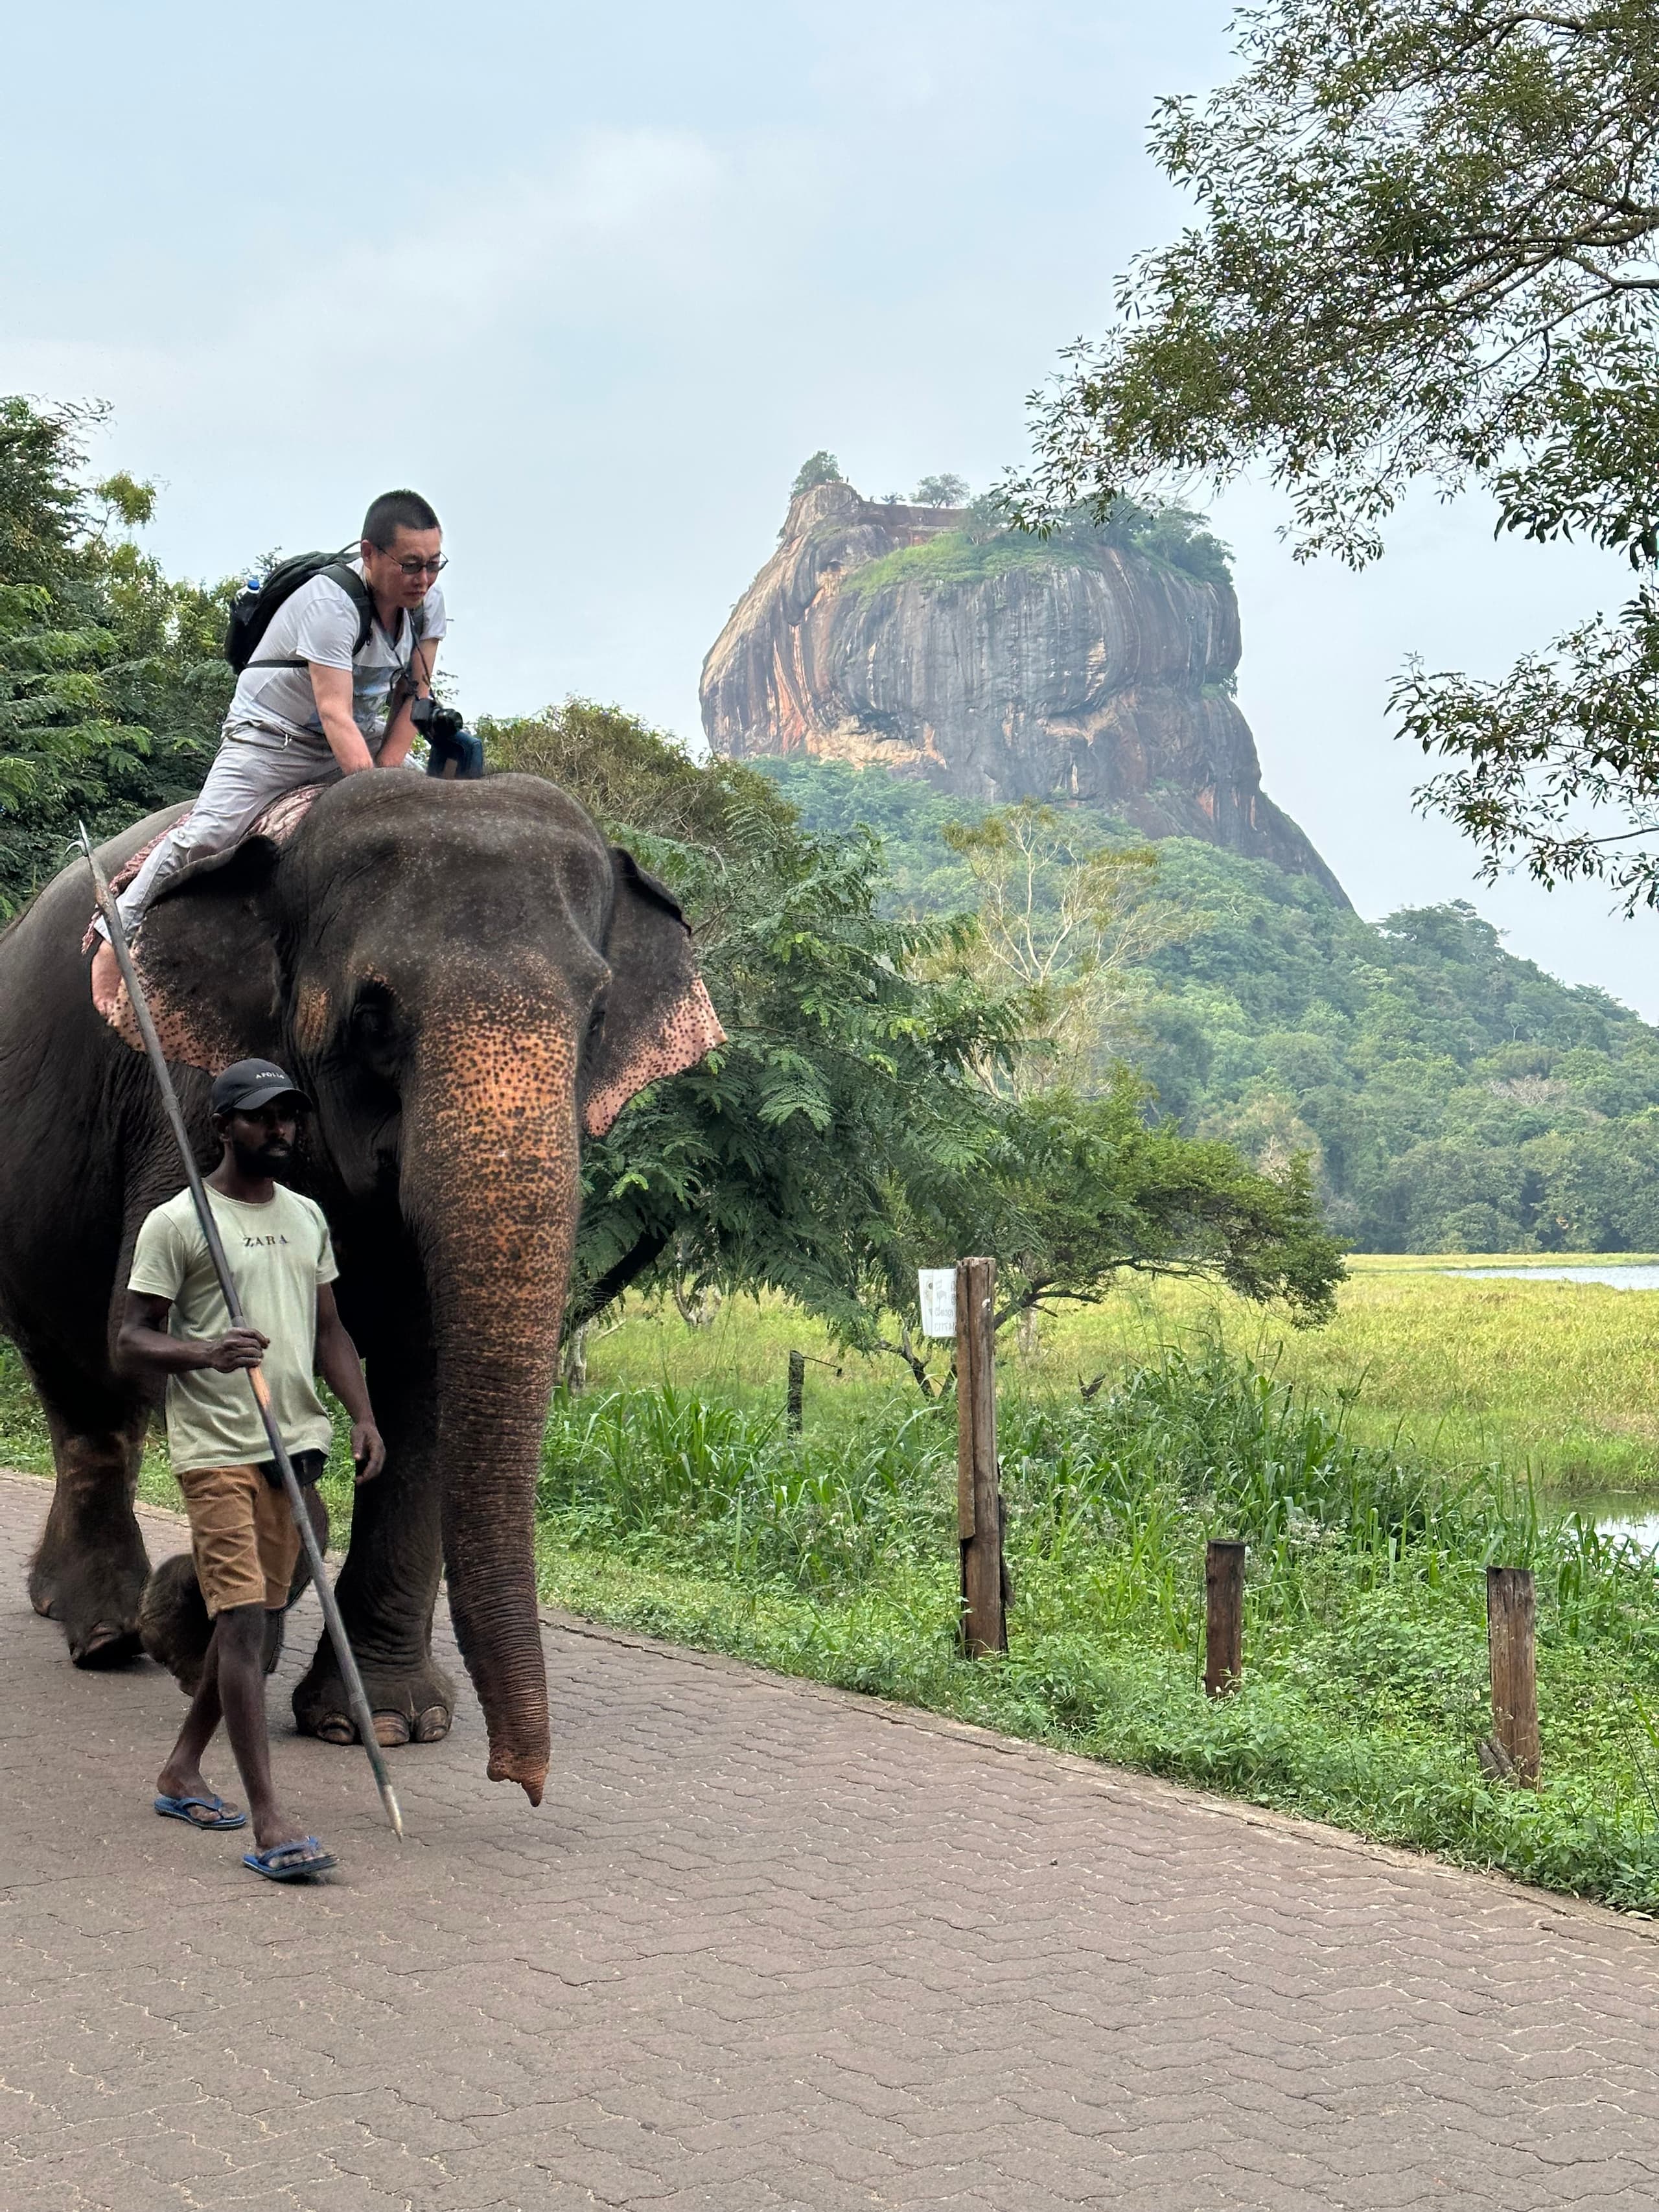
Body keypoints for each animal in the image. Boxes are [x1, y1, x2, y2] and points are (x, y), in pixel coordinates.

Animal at [0, 770, 724, 1804]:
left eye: (595, 1019)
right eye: (374, 1017)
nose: (522, 1779)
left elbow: (423, 1388)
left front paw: (384, 1723)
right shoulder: (182, 1099)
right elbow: (155, 1342)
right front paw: (192, 1630)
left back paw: (79, 1608)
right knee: (83, 1379)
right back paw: (106, 1633)